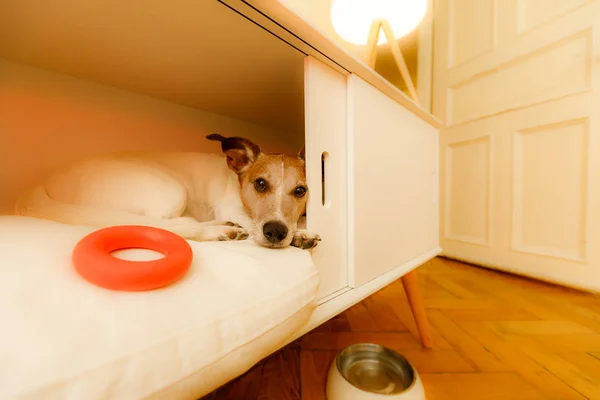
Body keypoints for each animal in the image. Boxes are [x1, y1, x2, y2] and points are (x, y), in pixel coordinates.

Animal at [14, 134, 322, 250]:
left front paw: (300, 232)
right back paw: (219, 230)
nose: (276, 232)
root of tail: (44, 183)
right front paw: (299, 233)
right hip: (171, 188)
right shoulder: (233, 207)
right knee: (164, 225)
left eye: (300, 190)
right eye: (259, 184)